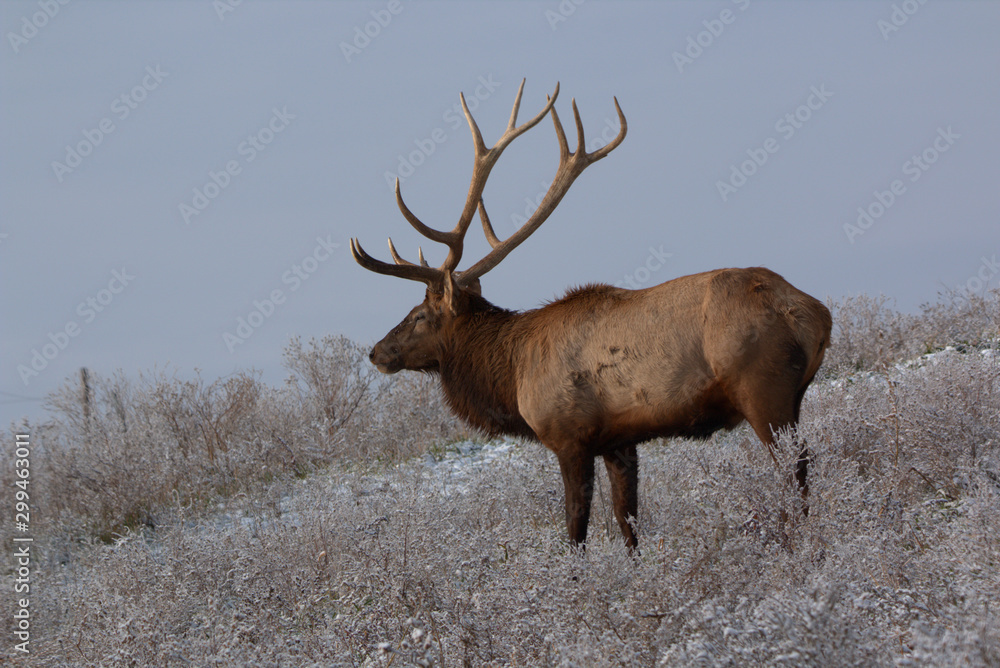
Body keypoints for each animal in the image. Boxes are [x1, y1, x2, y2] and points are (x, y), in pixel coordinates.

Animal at [351, 80, 832, 551]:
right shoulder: (619, 440)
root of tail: (815, 314)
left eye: (419, 314)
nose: (377, 352)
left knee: (795, 470)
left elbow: (576, 526)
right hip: (792, 394)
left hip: (762, 388)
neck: (513, 371)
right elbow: (628, 521)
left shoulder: (569, 434)